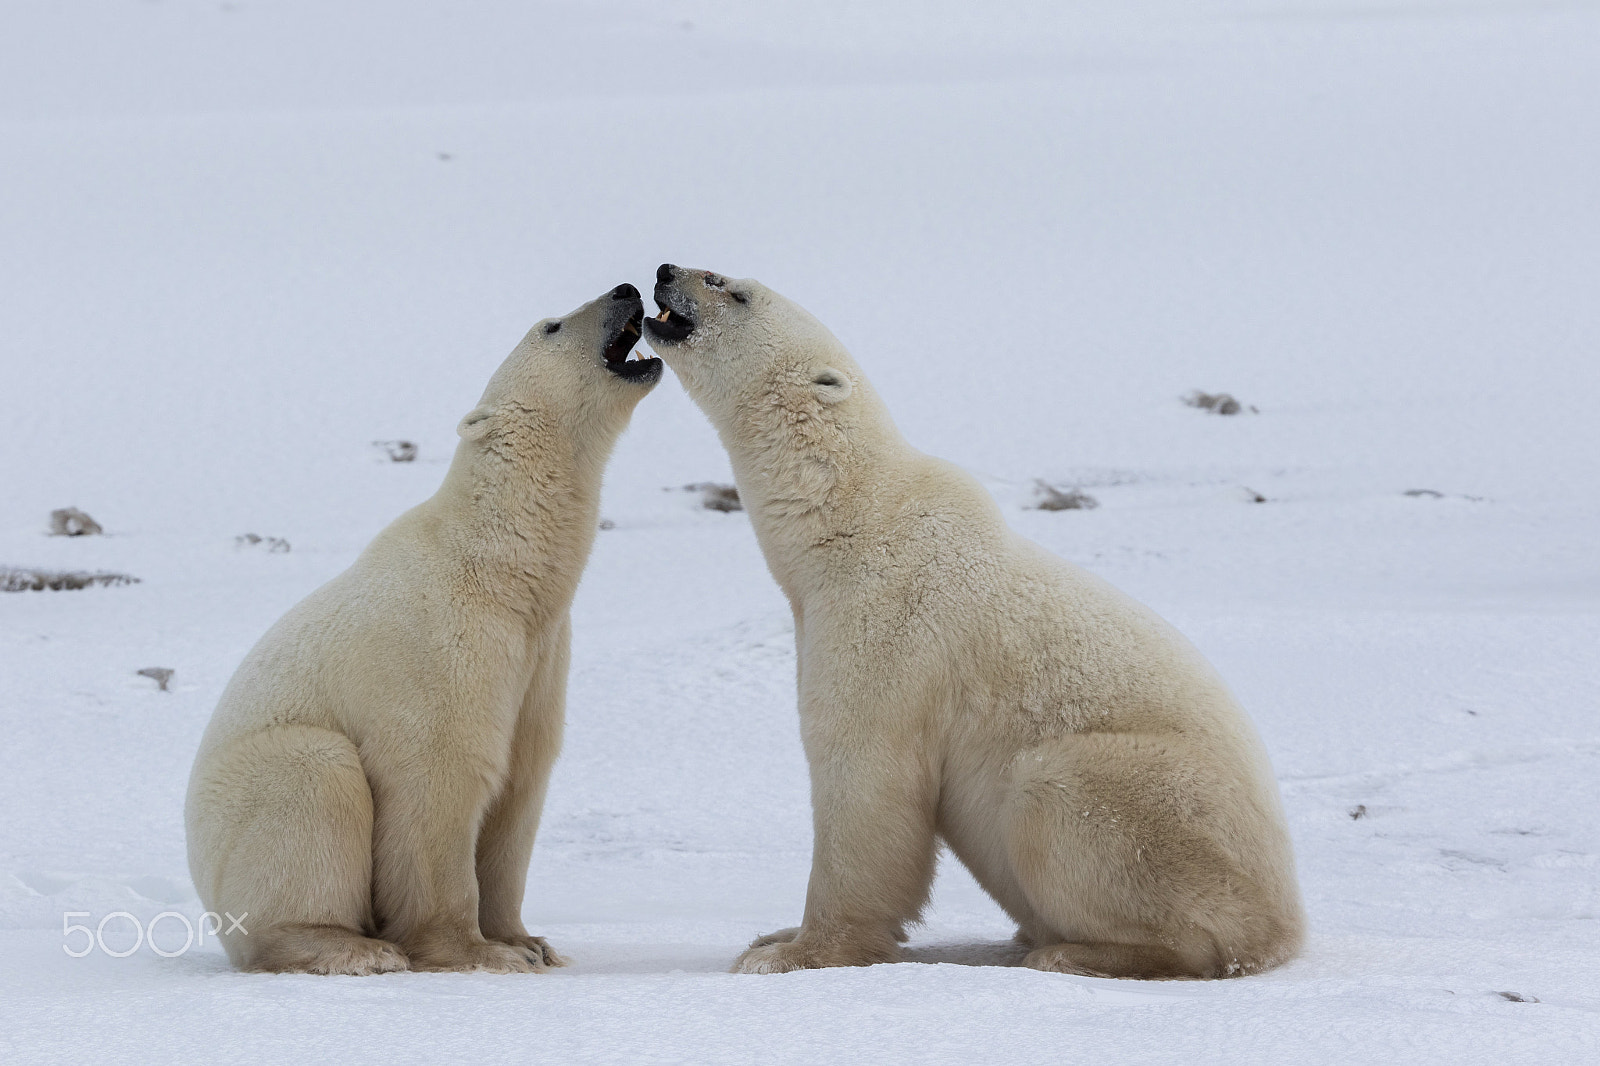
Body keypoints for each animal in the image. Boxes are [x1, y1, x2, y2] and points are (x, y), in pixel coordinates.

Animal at [184, 281, 659, 973]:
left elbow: (520, 785)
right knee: (315, 777)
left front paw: (529, 942)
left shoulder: (539, 655)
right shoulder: (441, 648)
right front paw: (476, 952)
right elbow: (439, 784)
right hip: (245, 812)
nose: (626, 288)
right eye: (550, 325)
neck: (501, 569)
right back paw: (352, 948)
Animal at [643, 264, 1305, 973]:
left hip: (1171, 816)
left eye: (730, 288)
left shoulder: (889, 623)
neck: (850, 518)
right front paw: (769, 936)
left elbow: (865, 777)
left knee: (1060, 796)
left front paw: (795, 953)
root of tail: (1288, 928)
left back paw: (1068, 952)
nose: (665, 272)